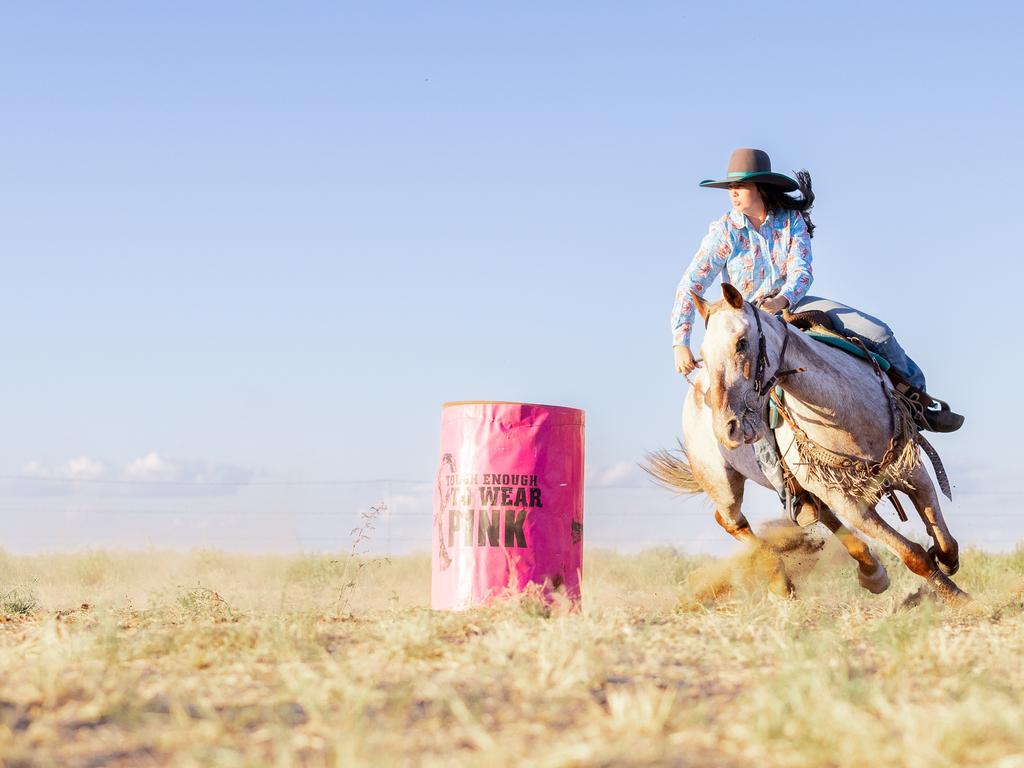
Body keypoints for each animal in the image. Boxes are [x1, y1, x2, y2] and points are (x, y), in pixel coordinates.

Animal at [647, 282, 966, 606]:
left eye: (741, 343)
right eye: (703, 354)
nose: (728, 428)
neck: (844, 409)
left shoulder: (910, 468)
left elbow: (945, 541)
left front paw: (945, 567)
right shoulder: (849, 503)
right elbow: (913, 555)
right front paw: (959, 598)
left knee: (819, 513)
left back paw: (870, 570)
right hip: (723, 485)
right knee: (731, 521)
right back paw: (782, 581)